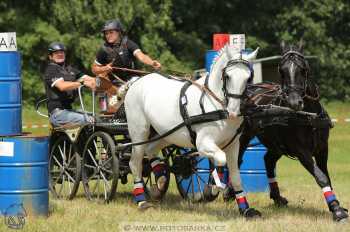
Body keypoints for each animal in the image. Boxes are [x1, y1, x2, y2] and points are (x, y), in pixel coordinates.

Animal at [124, 45, 262, 218]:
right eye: (227, 76)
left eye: (248, 78)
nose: (233, 111)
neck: (215, 104)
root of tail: (136, 82)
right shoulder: (203, 144)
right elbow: (220, 160)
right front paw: (213, 189)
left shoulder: (233, 144)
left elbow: (235, 176)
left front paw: (245, 209)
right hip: (139, 132)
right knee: (135, 163)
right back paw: (142, 201)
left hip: (165, 134)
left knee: (150, 150)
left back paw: (160, 179)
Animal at [230, 41, 348, 221]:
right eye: (282, 71)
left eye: (303, 69)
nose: (294, 102)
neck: (309, 116)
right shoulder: (302, 152)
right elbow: (321, 177)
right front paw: (336, 209)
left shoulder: (322, 149)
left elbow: (326, 175)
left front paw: (335, 205)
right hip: (243, 138)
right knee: (235, 163)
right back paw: (232, 196)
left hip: (276, 144)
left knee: (268, 160)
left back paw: (277, 197)